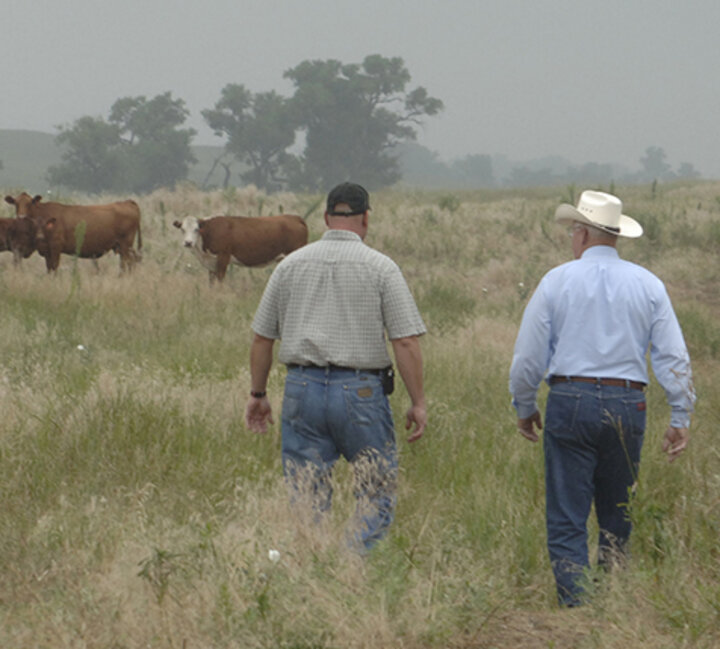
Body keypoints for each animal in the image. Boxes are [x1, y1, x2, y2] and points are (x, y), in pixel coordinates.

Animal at [5, 192, 142, 274]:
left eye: (30, 203)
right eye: (16, 203)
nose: (21, 217)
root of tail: (127, 202)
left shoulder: (55, 246)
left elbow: (54, 266)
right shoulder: (46, 250)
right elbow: (49, 268)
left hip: (125, 245)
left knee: (127, 262)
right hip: (121, 246)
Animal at [176, 214, 310, 282]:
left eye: (196, 229)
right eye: (182, 229)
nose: (188, 242)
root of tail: (294, 217)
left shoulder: (223, 256)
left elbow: (220, 279)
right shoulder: (211, 262)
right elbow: (212, 281)